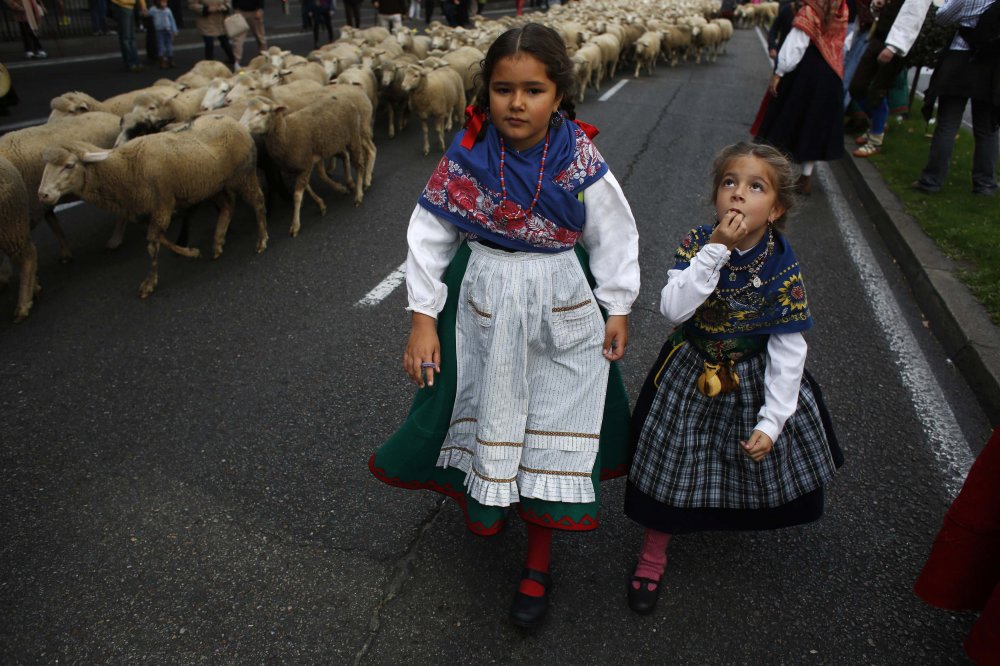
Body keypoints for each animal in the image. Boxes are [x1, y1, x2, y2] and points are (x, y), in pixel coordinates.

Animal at [38, 115, 268, 296]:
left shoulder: (162, 205)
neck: (125, 168)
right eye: (46, 166)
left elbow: (152, 243)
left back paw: (261, 241)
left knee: (258, 201)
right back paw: (218, 243)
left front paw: (150, 283)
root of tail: (235, 122)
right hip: (212, 185)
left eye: (69, 165)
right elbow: (157, 239)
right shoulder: (150, 209)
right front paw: (190, 252)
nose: (43, 194)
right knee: (228, 206)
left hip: (243, 174)